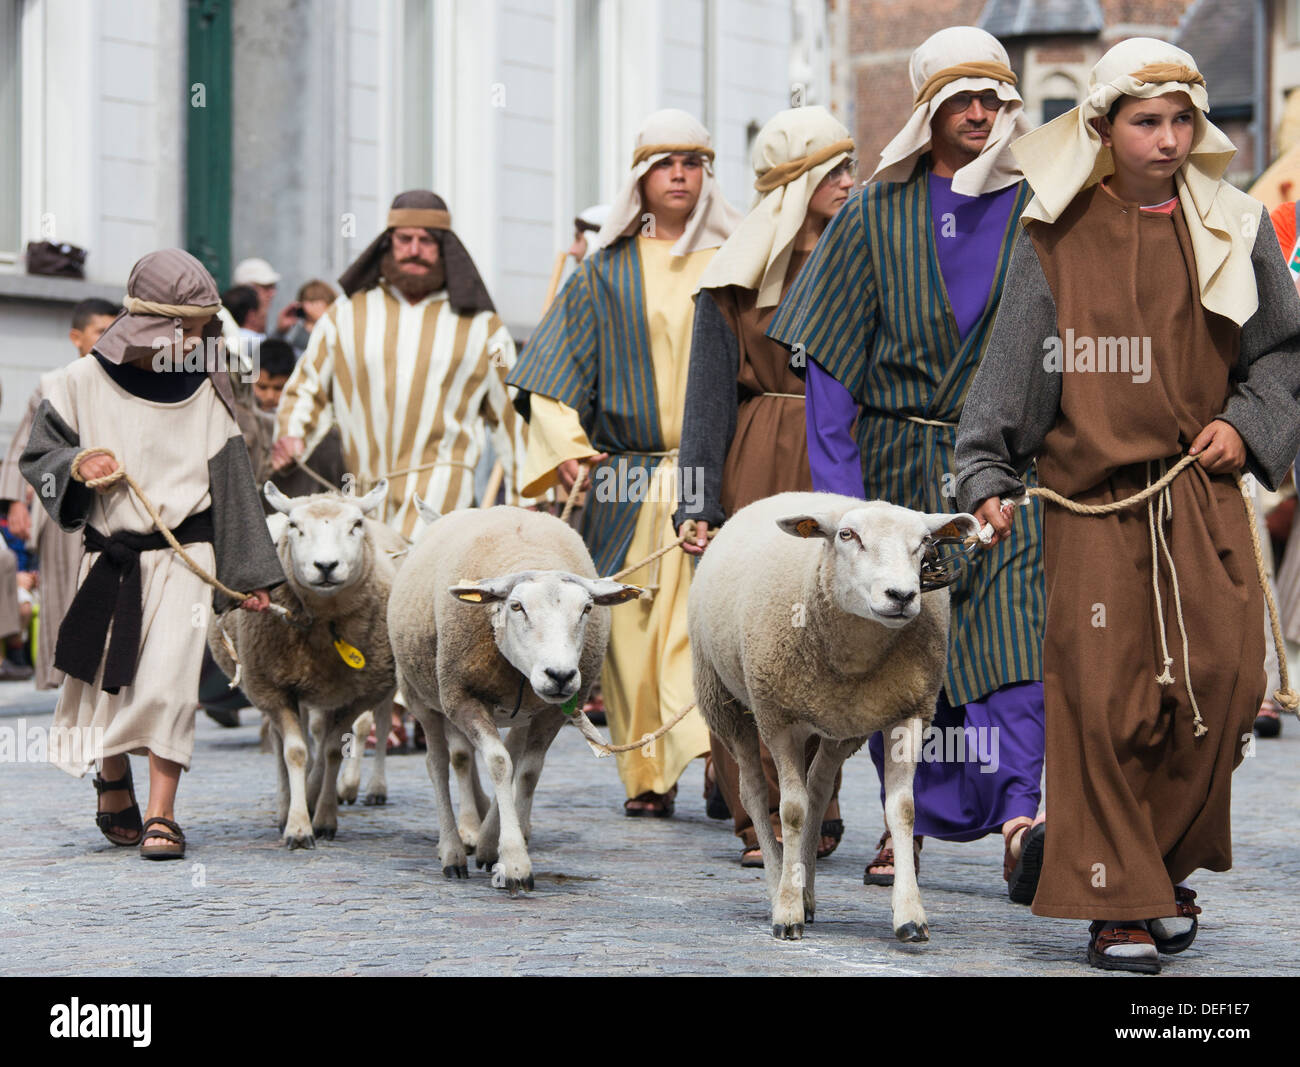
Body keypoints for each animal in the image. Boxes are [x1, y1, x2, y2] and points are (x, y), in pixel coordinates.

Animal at [209, 478, 400, 847]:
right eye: (295, 527)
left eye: (356, 525)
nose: (325, 566)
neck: (326, 628)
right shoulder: (274, 689)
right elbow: (295, 752)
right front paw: (298, 826)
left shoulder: (359, 694)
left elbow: (333, 750)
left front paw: (323, 817)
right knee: (285, 743)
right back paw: (288, 805)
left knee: (359, 731)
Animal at [384, 504, 639, 894]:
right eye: (517, 606)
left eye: (587, 609)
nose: (560, 675)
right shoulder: (463, 699)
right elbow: (499, 763)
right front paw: (517, 864)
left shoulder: (551, 714)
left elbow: (528, 771)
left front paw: (496, 847)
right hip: (422, 698)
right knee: (438, 764)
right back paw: (452, 851)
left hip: (518, 712)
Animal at [691, 491, 977, 940]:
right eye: (847, 535)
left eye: (924, 543)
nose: (901, 596)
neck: (854, 653)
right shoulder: (780, 719)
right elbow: (791, 810)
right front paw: (786, 911)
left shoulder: (910, 712)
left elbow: (903, 809)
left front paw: (910, 914)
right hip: (726, 703)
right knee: (754, 792)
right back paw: (778, 883)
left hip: (841, 727)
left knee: (819, 789)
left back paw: (805, 890)